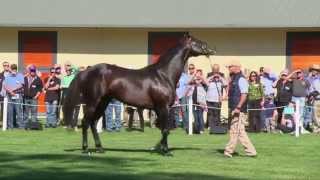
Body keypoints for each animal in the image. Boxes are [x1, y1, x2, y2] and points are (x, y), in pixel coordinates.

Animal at [62, 34, 215, 155]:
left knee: (93, 123)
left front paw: (158, 148)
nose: (211, 49)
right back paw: (86, 149)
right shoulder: (163, 107)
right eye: (197, 41)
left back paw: (100, 148)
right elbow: (166, 129)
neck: (164, 75)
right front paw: (165, 151)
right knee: (85, 122)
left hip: (103, 103)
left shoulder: (159, 109)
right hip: (93, 102)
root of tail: (86, 71)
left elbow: (164, 129)